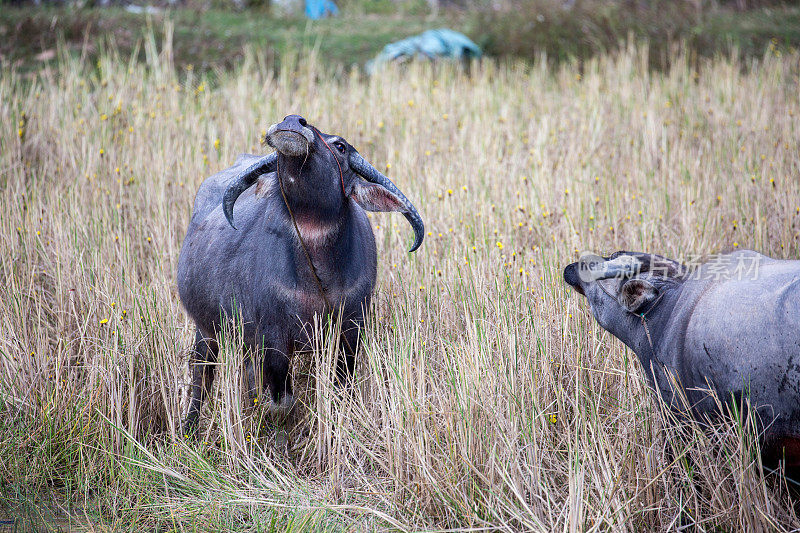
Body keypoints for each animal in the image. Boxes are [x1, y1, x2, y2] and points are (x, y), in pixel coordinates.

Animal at [177, 115, 424, 432]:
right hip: (205, 329)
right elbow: (282, 404)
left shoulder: (350, 332)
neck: (319, 278)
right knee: (202, 373)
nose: (293, 121)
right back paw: (190, 426)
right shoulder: (273, 338)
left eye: (341, 146)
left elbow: (341, 391)